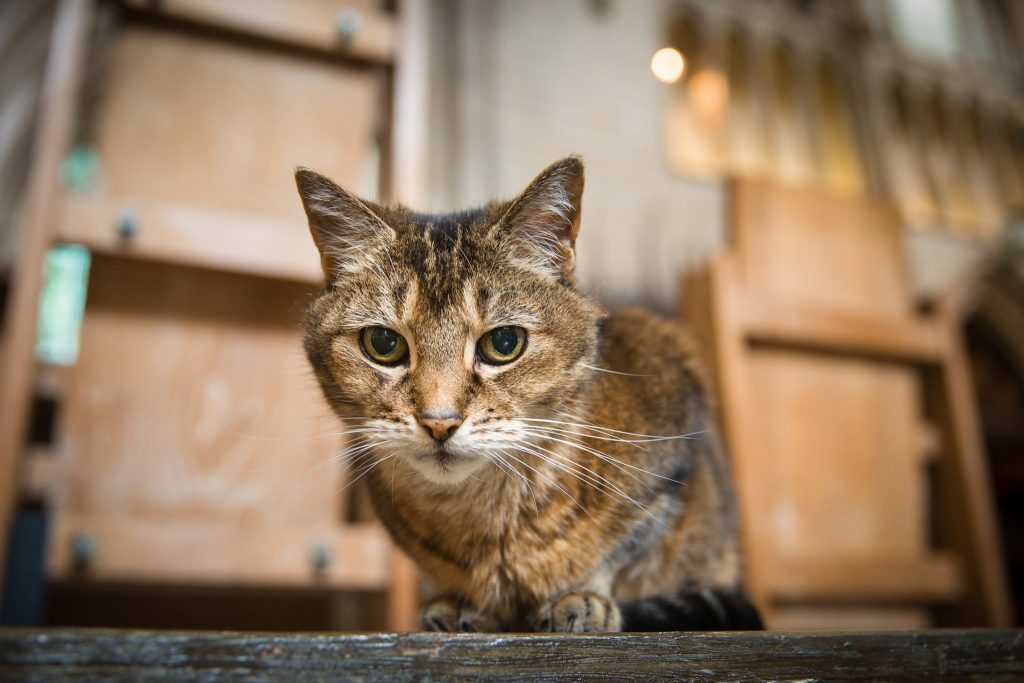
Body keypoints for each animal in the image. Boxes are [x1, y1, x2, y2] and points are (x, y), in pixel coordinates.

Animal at [294, 157, 761, 634]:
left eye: (504, 343)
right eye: (383, 344)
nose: (439, 421)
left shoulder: (670, 453)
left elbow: (618, 553)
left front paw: (582, 598)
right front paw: (461, 605)